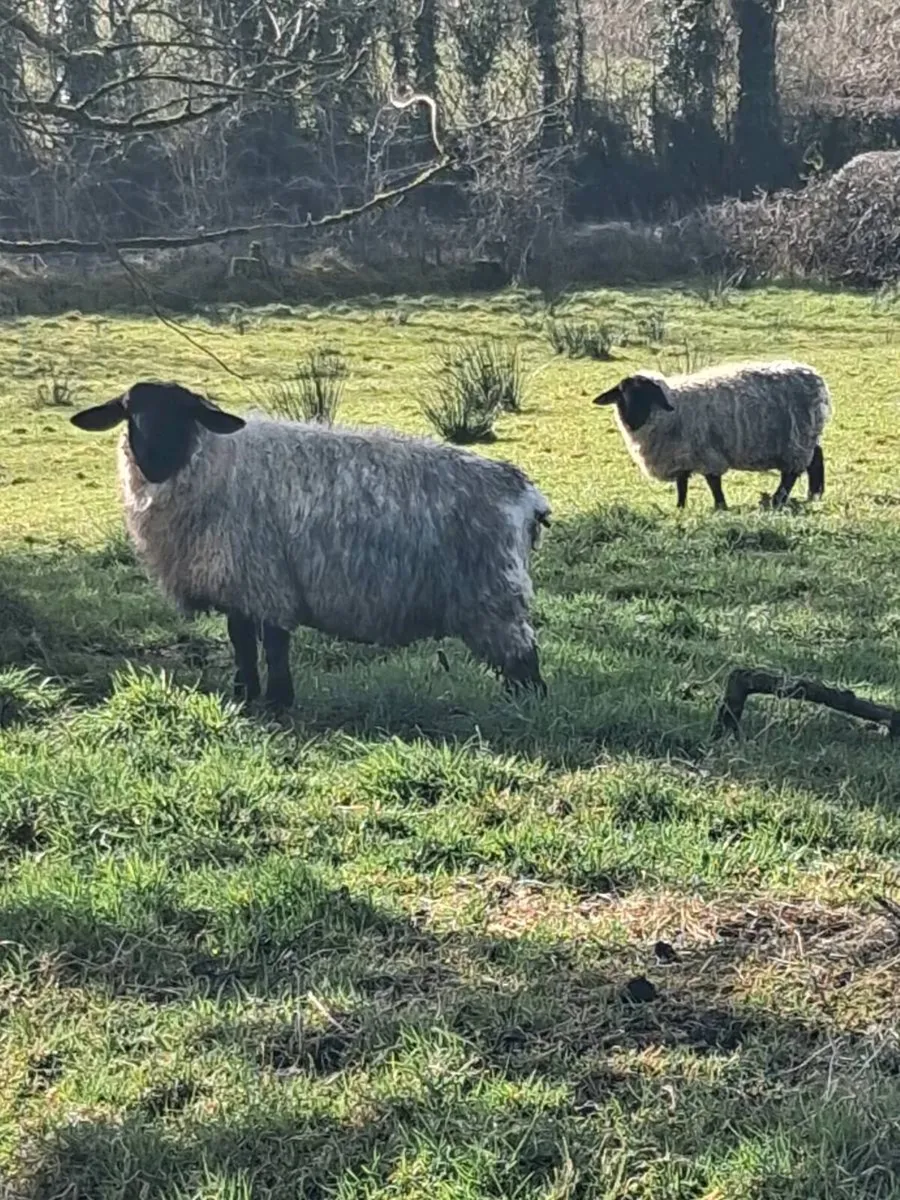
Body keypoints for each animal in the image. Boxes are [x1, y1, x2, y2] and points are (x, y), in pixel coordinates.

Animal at [70, 381, 551, 709]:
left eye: (184, 414)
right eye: (130, 412)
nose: (152, 458)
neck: (209, 462)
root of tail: (524, 494)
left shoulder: (262, 578)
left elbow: (270, 644)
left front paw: (276, 702)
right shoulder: (240, 583)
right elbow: (242, 642)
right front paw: (247, 695)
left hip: (493, 594)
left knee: (524, 658)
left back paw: (524, 707)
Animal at [592, 360, 831, 511]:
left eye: (646, 395)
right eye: (623, 395)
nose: (632, 419)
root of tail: (814, 377)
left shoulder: (707, 453)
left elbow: (713, 482)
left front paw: (720, 506)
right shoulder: (681, 456)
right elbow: (682, 484)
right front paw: (680, 507)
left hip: (797, 440)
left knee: (792, 473)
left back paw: (778, 500)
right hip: (803, 438)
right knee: (815, 460)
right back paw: (813, 495)